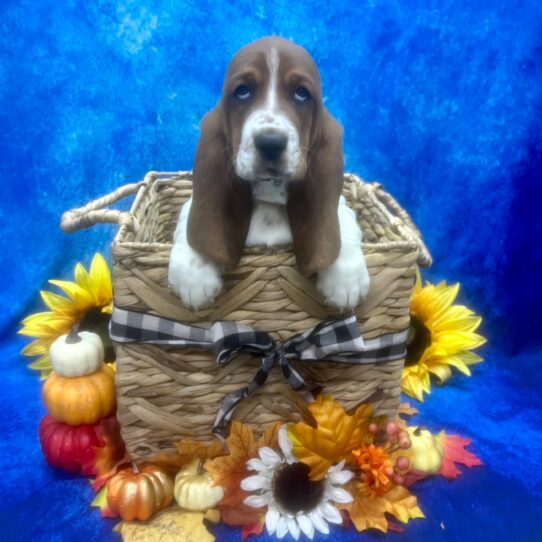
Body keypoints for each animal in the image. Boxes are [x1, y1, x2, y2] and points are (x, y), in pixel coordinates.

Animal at [170, 36, 372, 310]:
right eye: (242, 91)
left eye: (301, 93)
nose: (270, 143)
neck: (269, 194)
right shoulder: (194, 203)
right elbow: (188, 219)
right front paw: (194, 273)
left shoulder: (339, 204)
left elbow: (342, 219)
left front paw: (346, 279)